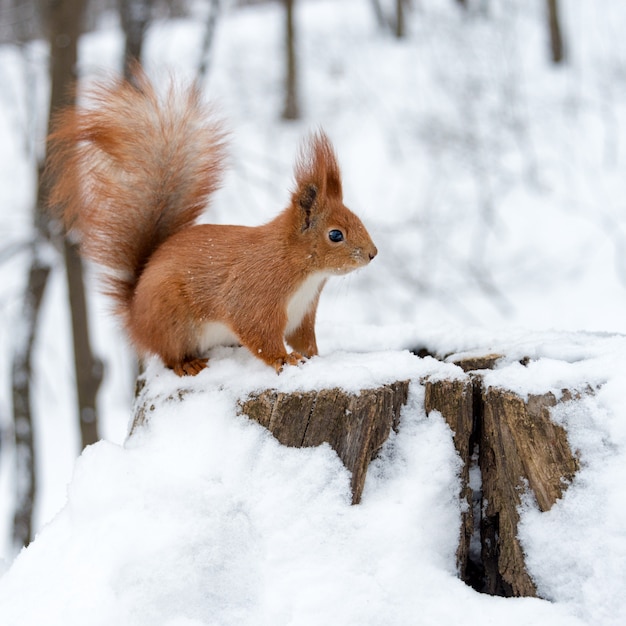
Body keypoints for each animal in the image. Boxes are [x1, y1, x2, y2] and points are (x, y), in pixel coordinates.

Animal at [46, 67, 378, 376]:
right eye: (335, 235)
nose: (373, 254)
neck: (303, 270)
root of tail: (136, 317)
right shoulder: (255, 295)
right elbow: (259, 334)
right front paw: (284, 359)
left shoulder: (303, 313)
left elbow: (304, 339)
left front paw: (314, 358)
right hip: (171, 319)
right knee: (168, 356)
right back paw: (187, 364)